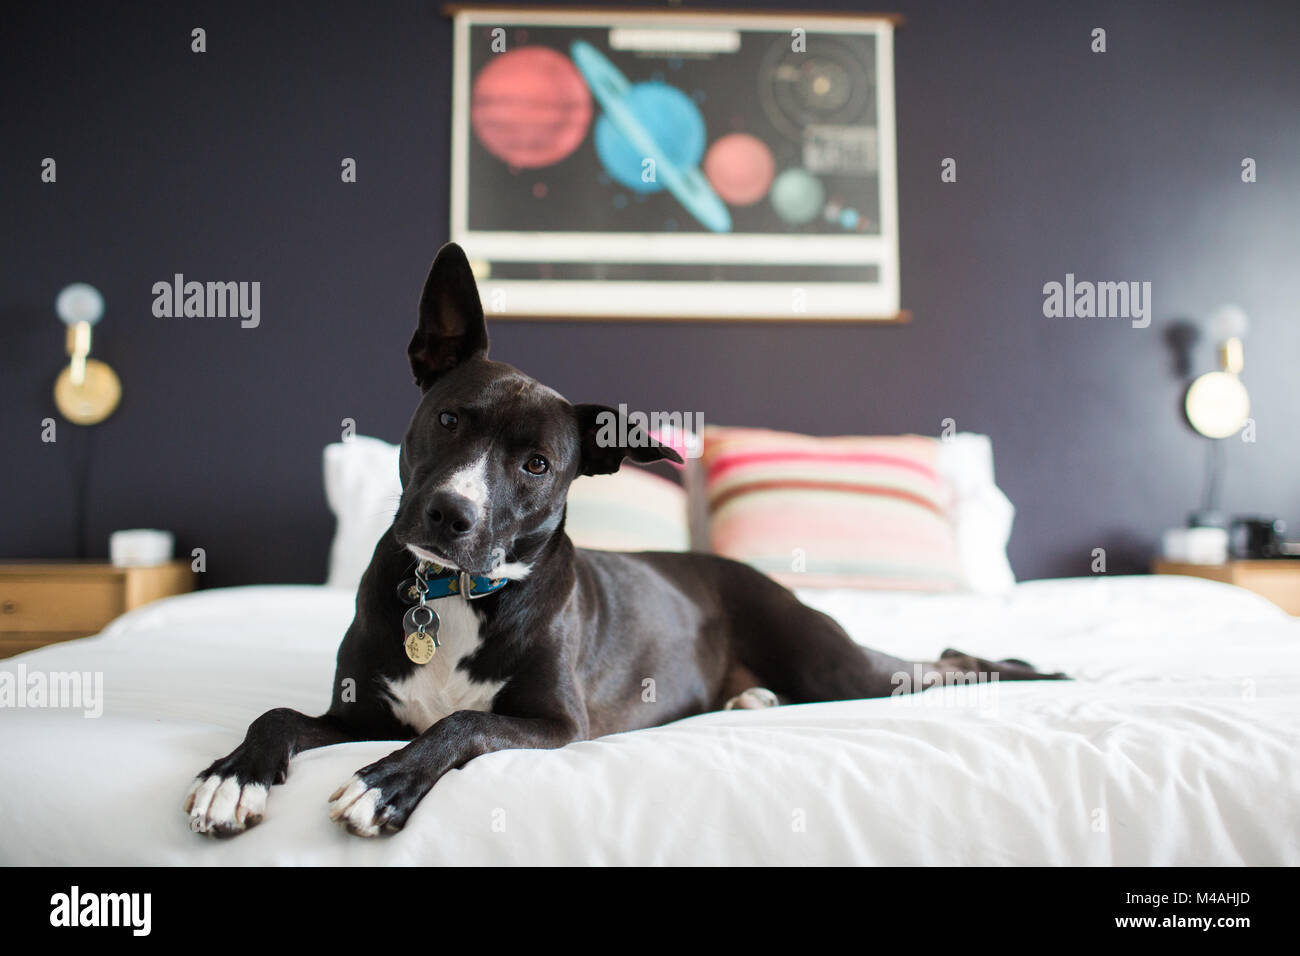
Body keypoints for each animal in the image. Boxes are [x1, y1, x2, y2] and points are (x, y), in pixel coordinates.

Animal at [185, 244, 1066, 837]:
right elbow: (279, 713)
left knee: (937, 662)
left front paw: (384, 786)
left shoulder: (556, 725)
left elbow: (459, 725)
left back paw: (1034, 669)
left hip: (837, 665)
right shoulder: (362, 712)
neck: (454, 595)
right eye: (448, 419)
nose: (448, 516)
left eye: (537, 464)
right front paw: (236, 776)